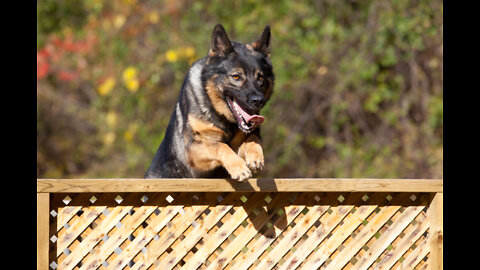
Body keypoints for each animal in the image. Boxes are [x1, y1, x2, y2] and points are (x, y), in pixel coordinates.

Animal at [144, 24, 274, 181]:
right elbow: (220, 146)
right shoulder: (193, 149)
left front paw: (255, 158)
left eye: (260, 77)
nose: (258, 101)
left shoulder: (245, 138)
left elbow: (253, 139)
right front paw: (239, 167)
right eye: (236, 76)